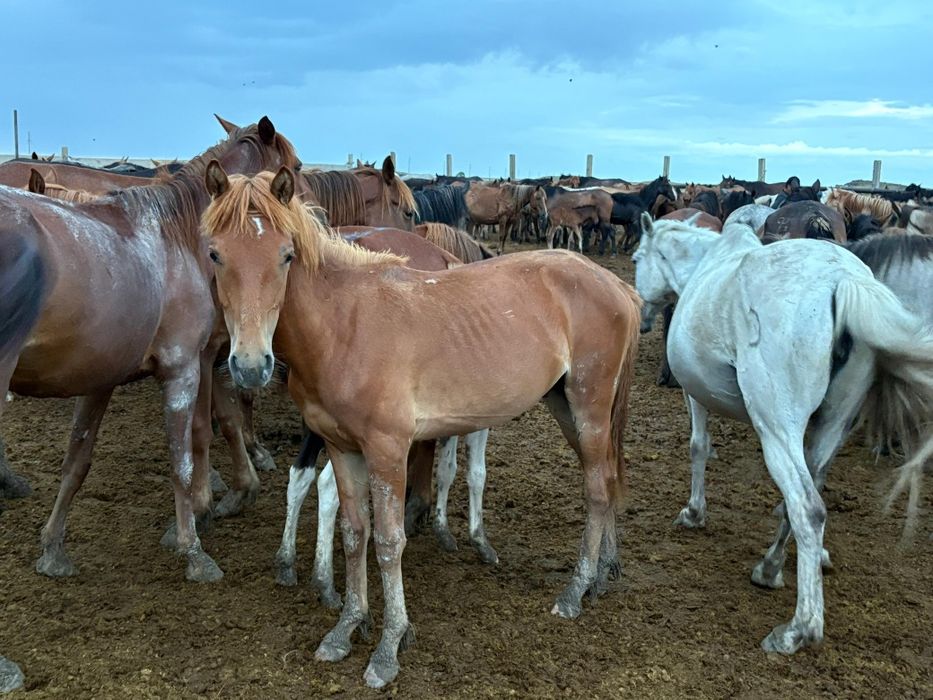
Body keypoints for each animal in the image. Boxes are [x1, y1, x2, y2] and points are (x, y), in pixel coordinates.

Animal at [0, 116, 300, 585]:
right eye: (298, 167)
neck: (174, 239)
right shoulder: (183, 369)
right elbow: (184, 458)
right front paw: (194, 549)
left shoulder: (101, 377)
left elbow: (77, 459)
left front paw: (53, 550)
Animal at [202, 165, 641, 688]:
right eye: (215, 253)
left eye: (286, 254)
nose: (250, 366)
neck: (344, 324)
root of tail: (616, 286)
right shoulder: (341, 448)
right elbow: (354, 533)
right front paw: (346, 628)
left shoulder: (388, 450)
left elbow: (389, 542)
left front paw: (389, 646)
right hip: (567, 407)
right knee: (607, 479)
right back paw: (603, 574)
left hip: (589, 406)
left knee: (595, 490)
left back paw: (575, 591)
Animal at [633, 212, 933, 654]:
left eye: (637, 258)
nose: (642, 318)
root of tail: (843, 280)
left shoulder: (694, 395)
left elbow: (699, 448)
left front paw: (693, 512)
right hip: (831, 426)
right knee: (811, 491)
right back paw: (771, 566)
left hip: (776, 429)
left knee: (808, 506)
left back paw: (798, 628)